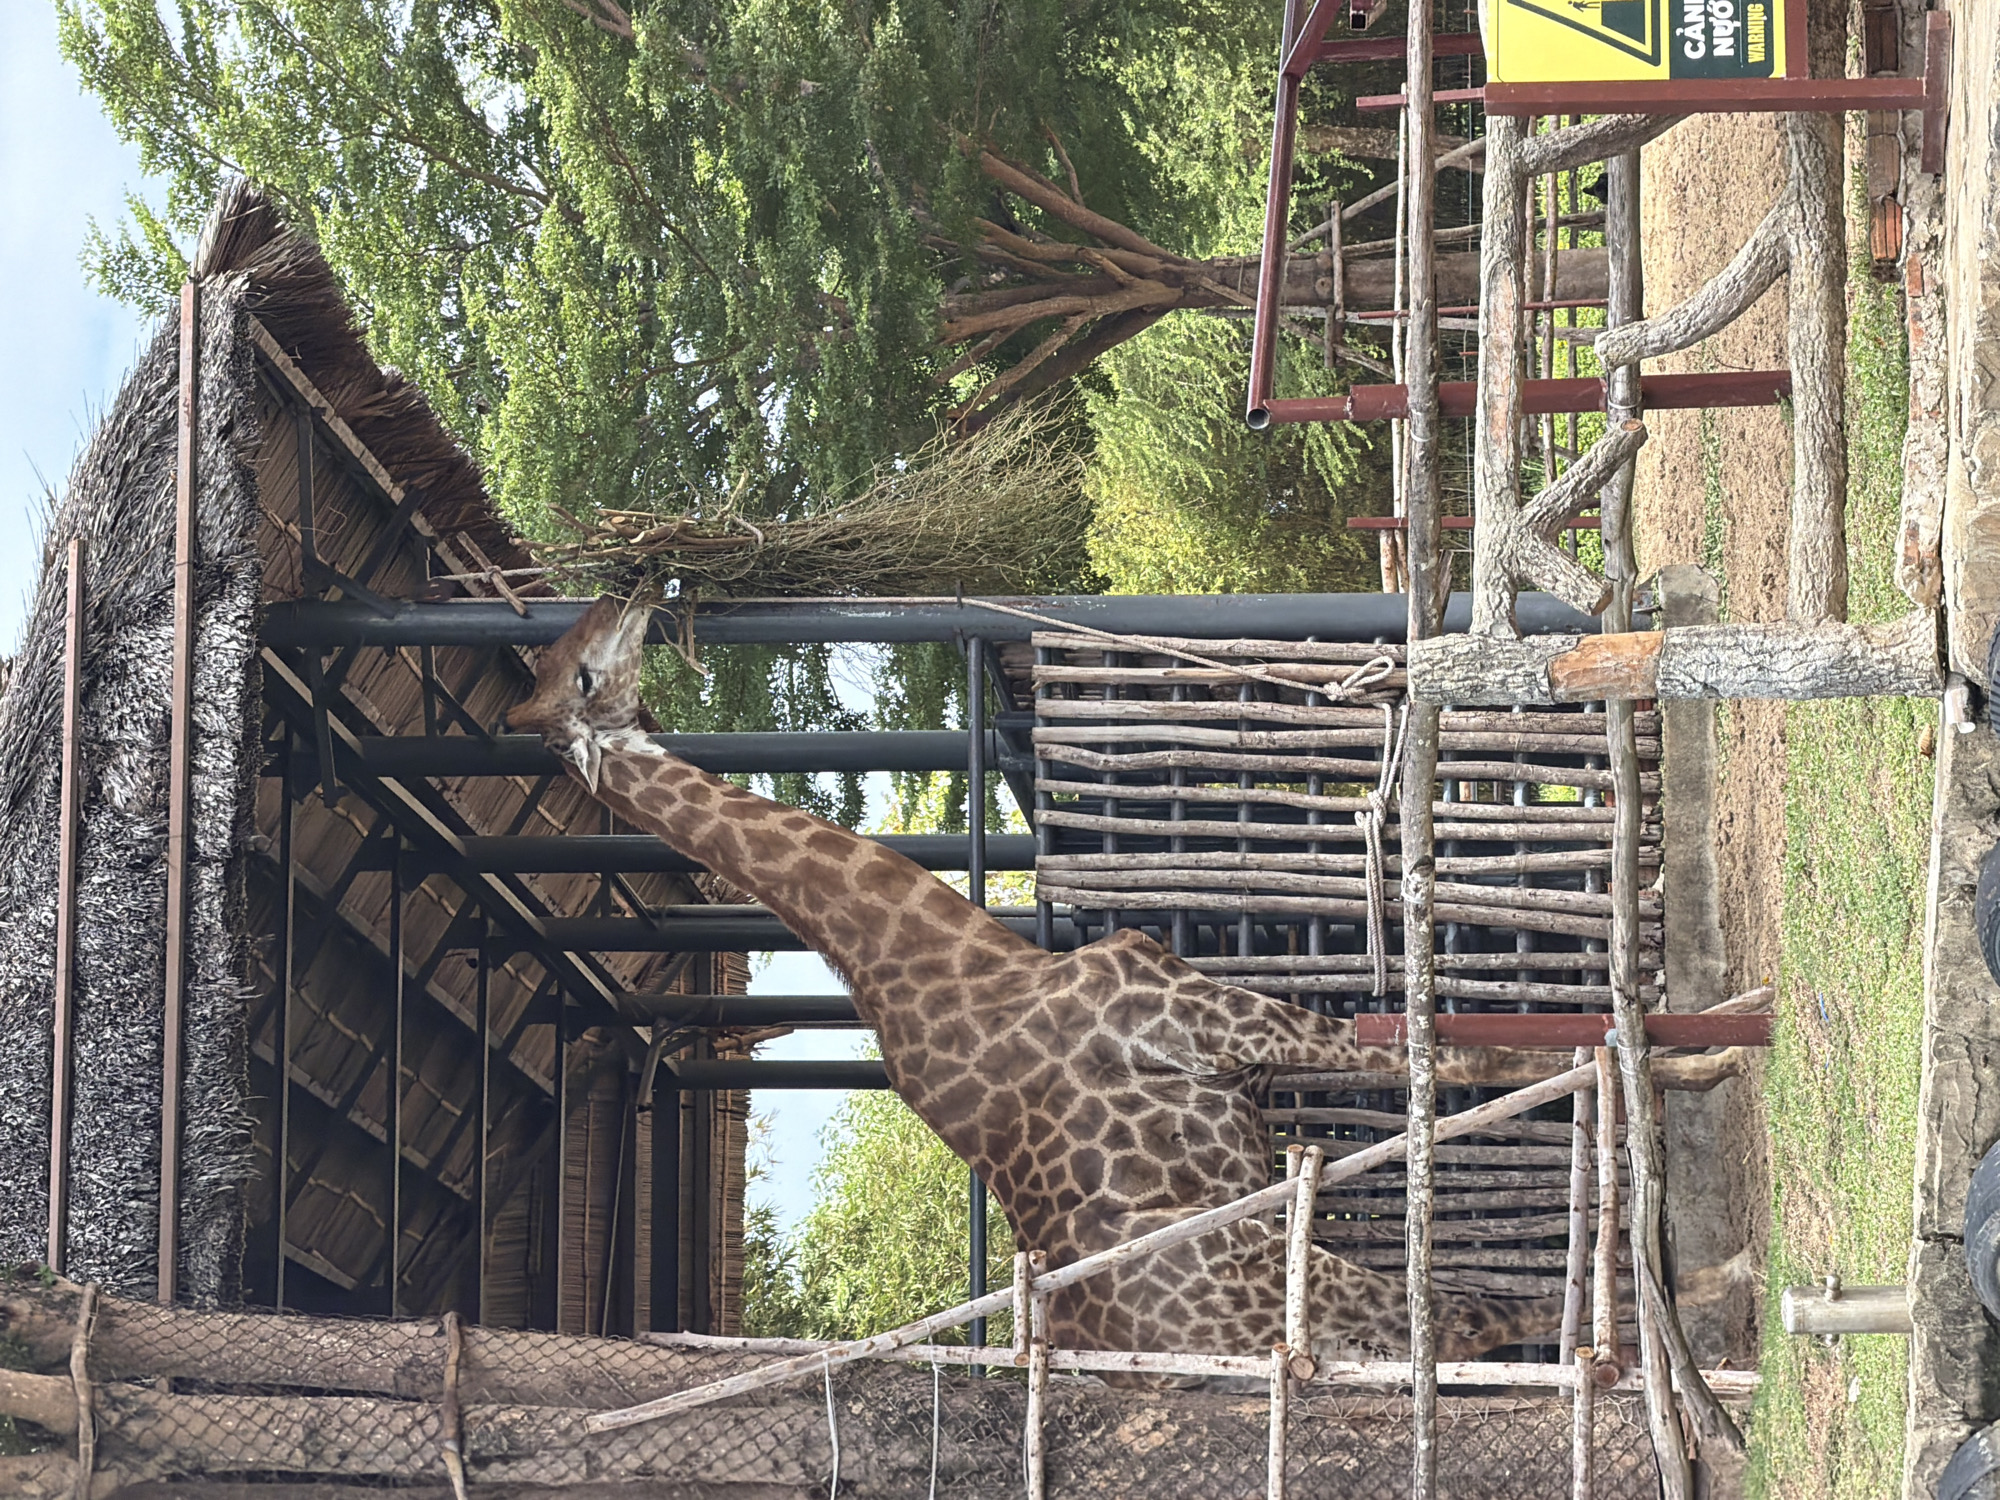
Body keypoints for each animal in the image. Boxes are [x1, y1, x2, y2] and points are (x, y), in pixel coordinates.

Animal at [508, 598, 1610, 1368]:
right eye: (585, 670)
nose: (637, 583)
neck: (963, 962)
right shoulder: (1211, 1019)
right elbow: (1461, 1053)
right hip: (1306, 1283)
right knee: (1475, 1314)